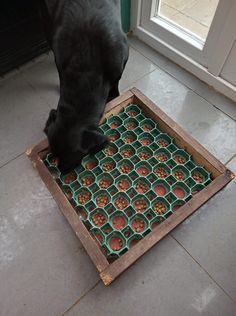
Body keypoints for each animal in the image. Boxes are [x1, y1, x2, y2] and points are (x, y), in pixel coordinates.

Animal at [40, 0, 129, 173]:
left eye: (71, 158)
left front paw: (114, 96)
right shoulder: (59, 62)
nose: (62, 171)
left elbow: (116, 83)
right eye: (53, 154)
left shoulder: (121, 62)